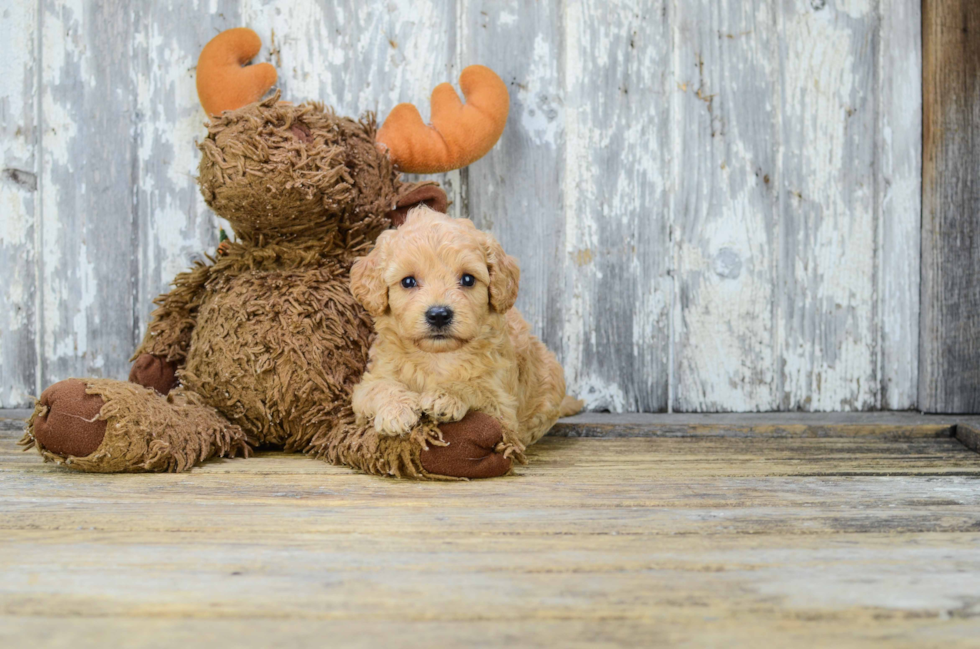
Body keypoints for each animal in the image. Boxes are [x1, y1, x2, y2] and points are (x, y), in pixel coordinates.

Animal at [352, 205, 580, 454]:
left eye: (468, 279)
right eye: (408, 282)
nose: (439, 315)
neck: (437, 357)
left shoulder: (503, 405)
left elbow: (475, 387)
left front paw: (446, 395)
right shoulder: (369, 382)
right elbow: (380, 387)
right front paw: (396, 411)